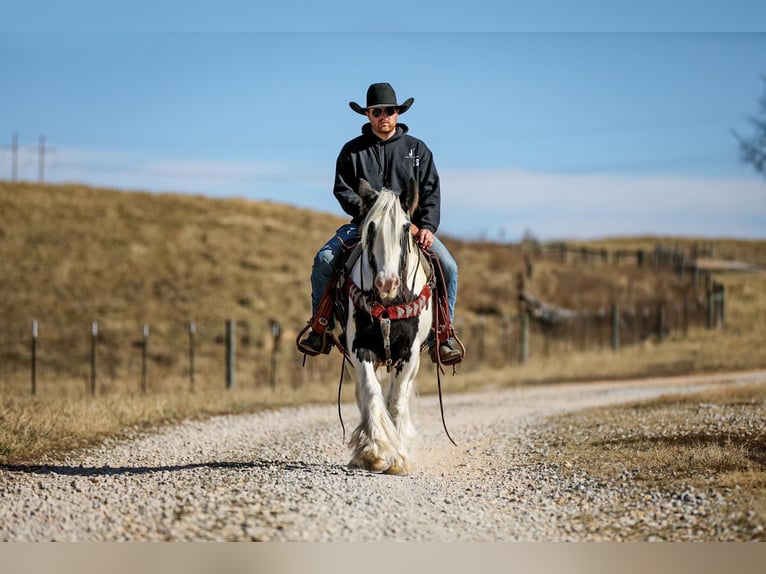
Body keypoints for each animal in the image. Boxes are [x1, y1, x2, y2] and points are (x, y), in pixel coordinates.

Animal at [344, 180, 436, 476]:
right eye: (371, 227)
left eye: (406, 228)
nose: (387, 282)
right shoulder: (360, 348)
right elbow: (371, 393)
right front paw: (374, 451)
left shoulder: (409, 354)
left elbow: (397, 400)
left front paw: (398, 459)